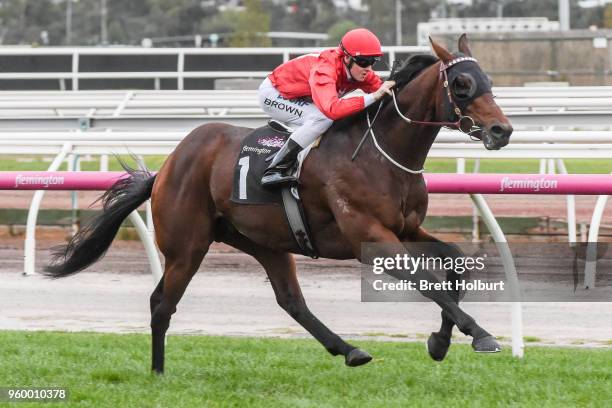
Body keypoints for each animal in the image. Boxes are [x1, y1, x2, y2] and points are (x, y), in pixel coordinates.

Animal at [44, 35, 512, 372]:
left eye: (489, 81)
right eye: (461, 85)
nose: (502, 130)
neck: (381, 152)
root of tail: (167, 167)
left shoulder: (406, 229)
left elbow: (455, 263)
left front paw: (440, 341)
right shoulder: (370, 237)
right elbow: (429, 281)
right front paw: (479, 333)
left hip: (266, 242)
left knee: (291, 301)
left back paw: (349, 350)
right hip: (186, 245)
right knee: (162, 303)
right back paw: (158, 373)